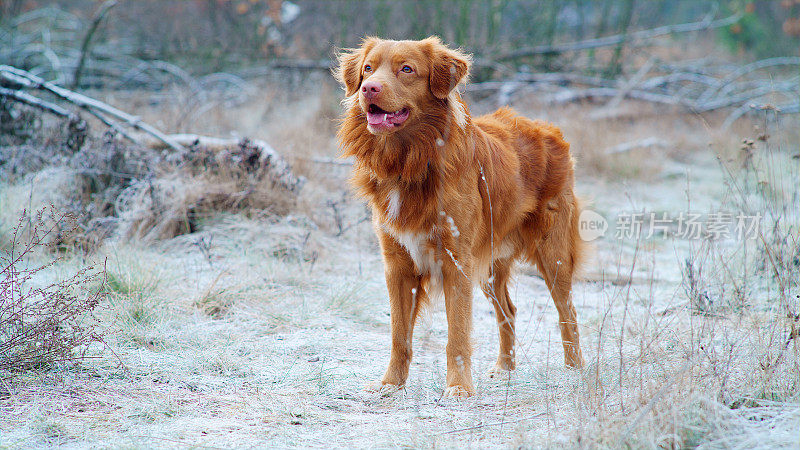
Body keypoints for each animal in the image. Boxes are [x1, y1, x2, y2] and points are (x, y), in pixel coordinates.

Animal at [334, 37, 584, 398]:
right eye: (368, 68)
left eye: (406, 69)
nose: (368, 88)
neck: (410, 161)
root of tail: (547, 127)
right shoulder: (397, 265)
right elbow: (399, 334)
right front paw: (390, 384)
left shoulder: (457, 261)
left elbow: (457, 334)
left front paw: (459, 387)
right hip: (491, 265)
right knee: (508, 310)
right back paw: (504, 368)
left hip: (553, 254)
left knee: (568, 310)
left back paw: (574, 368)